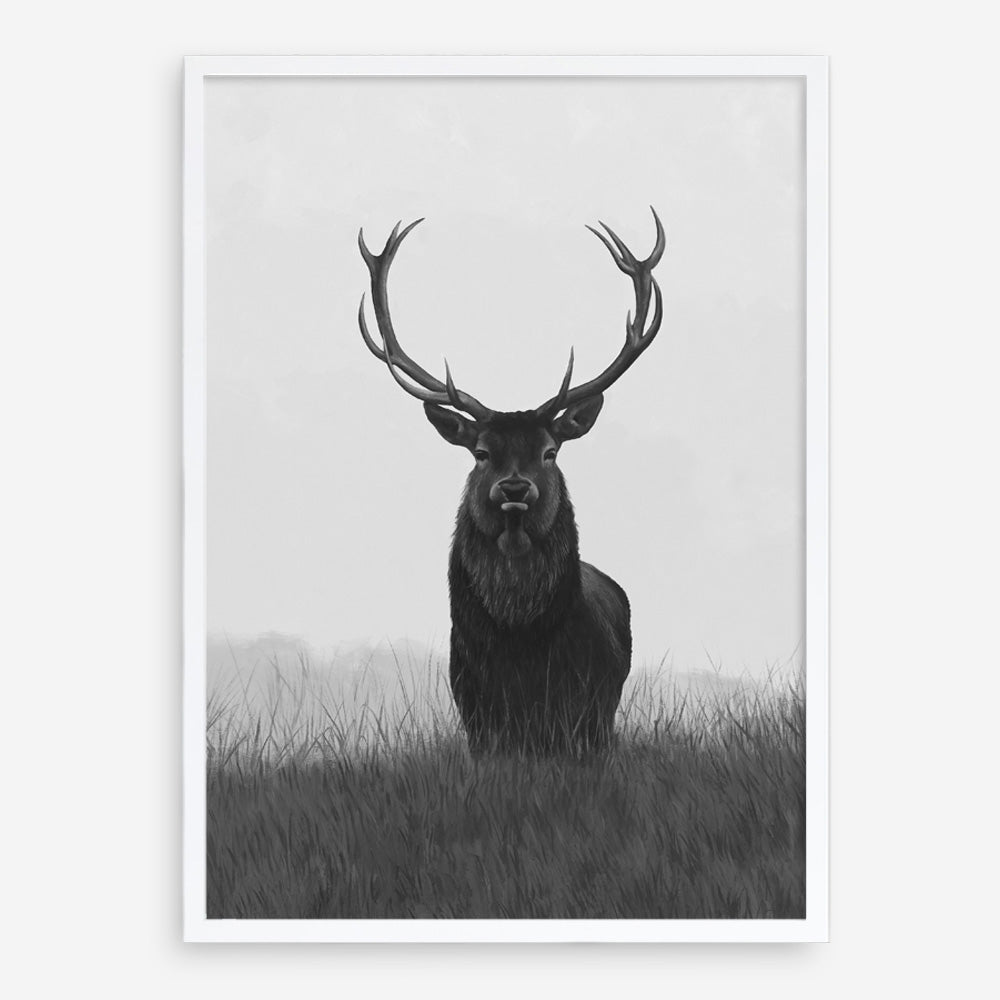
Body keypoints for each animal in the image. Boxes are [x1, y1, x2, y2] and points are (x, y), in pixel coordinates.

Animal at [357, 209, 666, 754]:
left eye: (549, 450)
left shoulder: (587, 713)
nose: (516, 489)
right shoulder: (475, 711)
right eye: (481, 453)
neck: (522, 650)